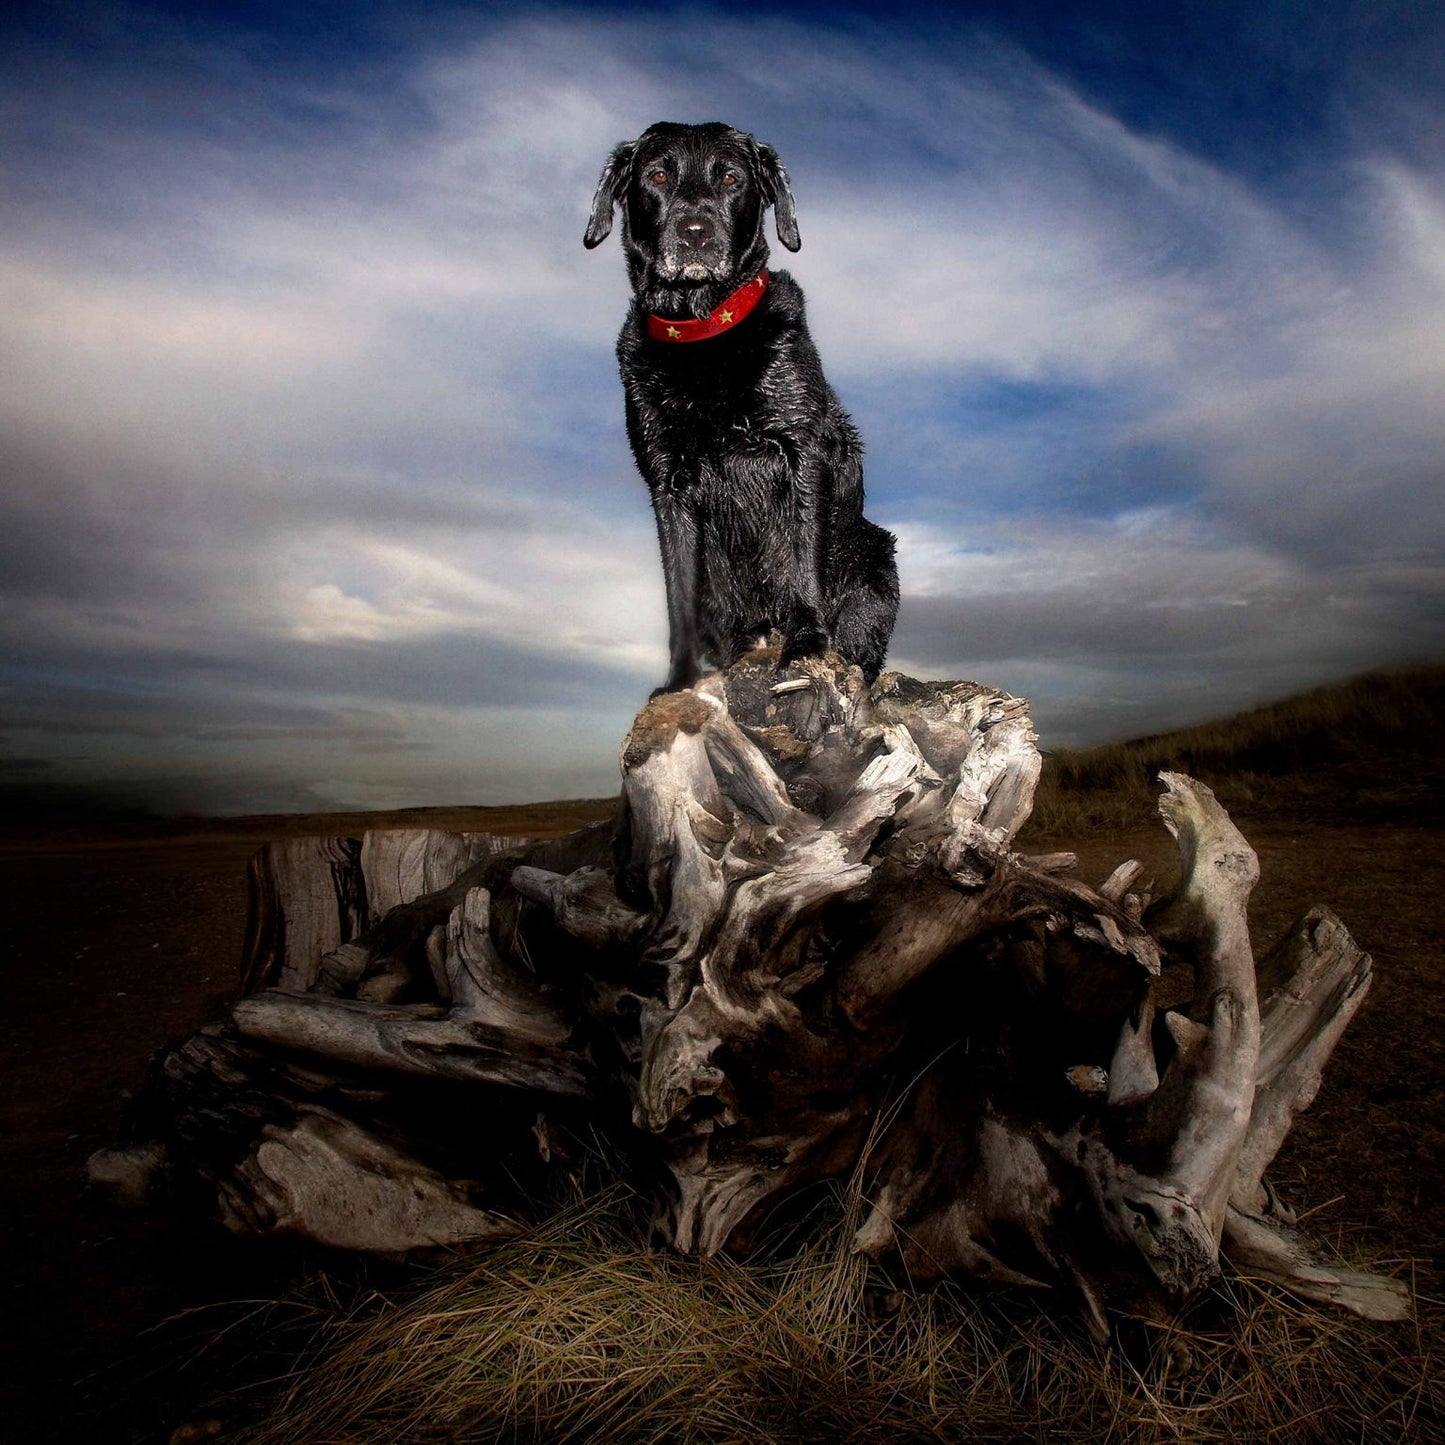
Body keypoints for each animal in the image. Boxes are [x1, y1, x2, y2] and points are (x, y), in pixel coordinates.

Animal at [580, 118, 895, 693]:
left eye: (731, 179)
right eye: (658, 175)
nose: (696, 232)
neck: (704, 337)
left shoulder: (801, 453)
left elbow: (801, 561)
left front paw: (805, 645)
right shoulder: (668, 483)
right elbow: (679, 593)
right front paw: (680, 679)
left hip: (875, 556)